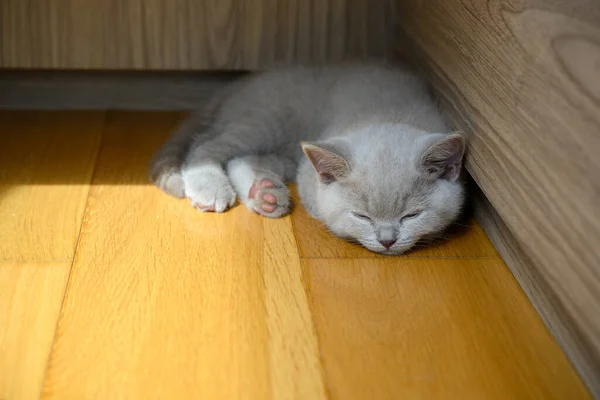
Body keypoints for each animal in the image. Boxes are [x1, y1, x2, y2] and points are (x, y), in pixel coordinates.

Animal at [148, 63, 466, 256]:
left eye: (411, 215)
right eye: (362, 216)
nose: (387, 240)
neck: (388, 113)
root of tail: (238, 84)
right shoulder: (310, 169)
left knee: (240, 158)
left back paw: (265, 193)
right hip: (265, 121)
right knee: (206, 146)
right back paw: (211, 187)